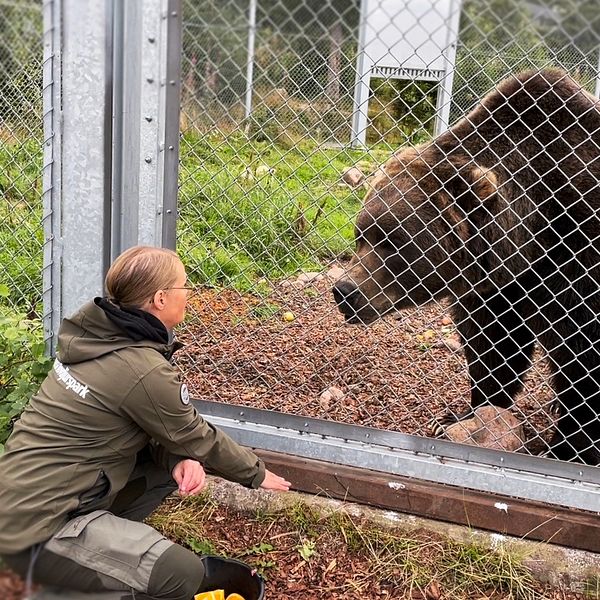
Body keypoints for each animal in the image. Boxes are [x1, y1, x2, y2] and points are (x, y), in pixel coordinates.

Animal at [332, 69, 600, 464]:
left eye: (394, 241)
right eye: (360, 234)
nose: (345, 291)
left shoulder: (579, 256)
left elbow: (584, 360)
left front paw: (569, 449)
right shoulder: (501, 284)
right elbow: (493, 344)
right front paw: (464, 415)